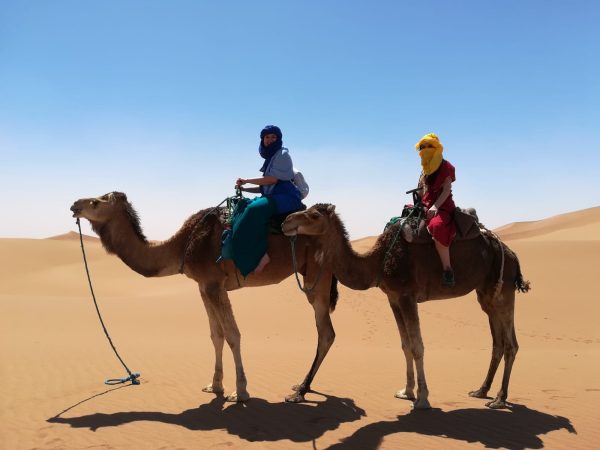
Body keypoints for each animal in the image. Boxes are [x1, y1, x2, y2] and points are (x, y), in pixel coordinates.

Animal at [69, 192, 338, 402]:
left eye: (95, 202)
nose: (74, 205)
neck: (183, 246)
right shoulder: (204, 286)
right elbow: (216, 336)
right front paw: (215, 386)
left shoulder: (214, 284)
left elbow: (232, 335)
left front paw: (240, 392)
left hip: (319, 276)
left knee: (326, 332)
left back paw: (301, 389)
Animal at [282, 204, 528, 412]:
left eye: (314, 215)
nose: (285, 221)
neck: (378, 261)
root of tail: (513, 255)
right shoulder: (393, 297)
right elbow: (405, 345)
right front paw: (407, 391)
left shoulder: (408, 296)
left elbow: (418, 346)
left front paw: (422, 399)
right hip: (486, 295)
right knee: (498, 342)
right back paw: (481, 391)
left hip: (504, 289)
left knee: (511, 345)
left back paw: (499, 399)